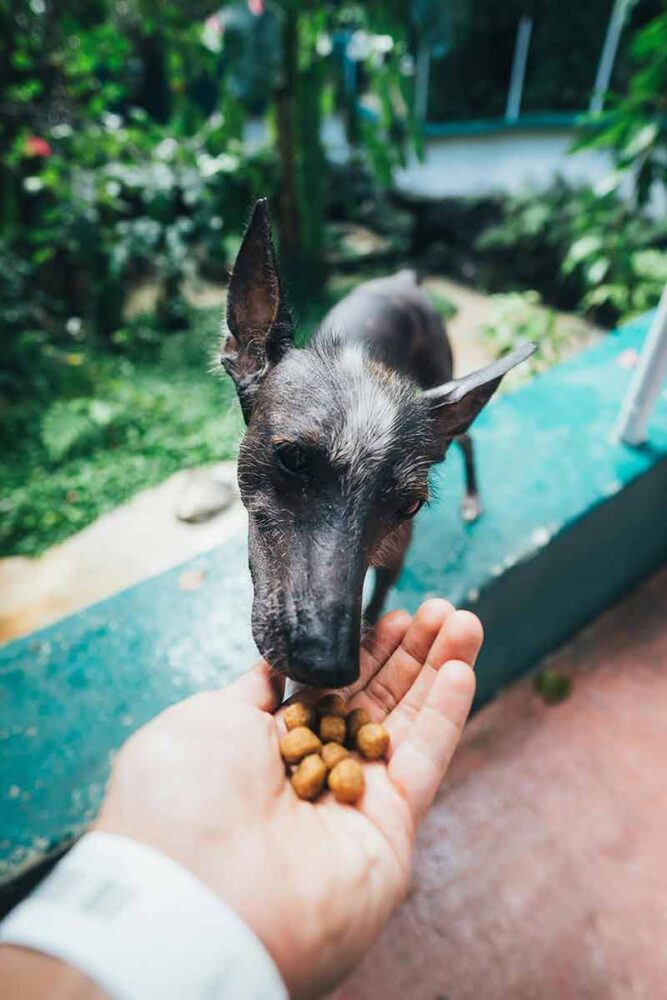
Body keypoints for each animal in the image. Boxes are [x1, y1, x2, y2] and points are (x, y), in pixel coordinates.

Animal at [222, 201, 536, 688]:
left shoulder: (396, 554)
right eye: (292, 457)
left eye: (409, 505)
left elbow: (375, 602)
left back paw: (472, 498)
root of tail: (404, 279)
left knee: (466, 440)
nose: (328, 665)